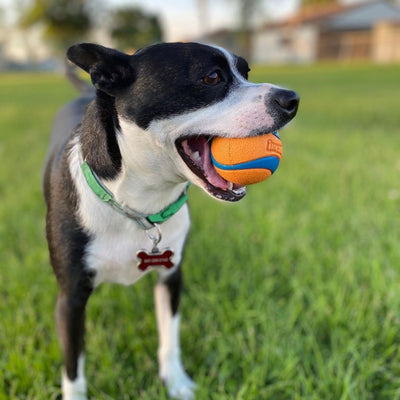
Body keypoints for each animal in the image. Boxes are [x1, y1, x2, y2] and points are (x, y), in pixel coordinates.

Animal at [43, 42, 298, 398]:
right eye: (212, 77)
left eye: (246, 73)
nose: (291, 98)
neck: (139, 208)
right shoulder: (71, 299)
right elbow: (74, 367)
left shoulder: (171, 277)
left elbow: (169, 339)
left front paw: (176, 383)